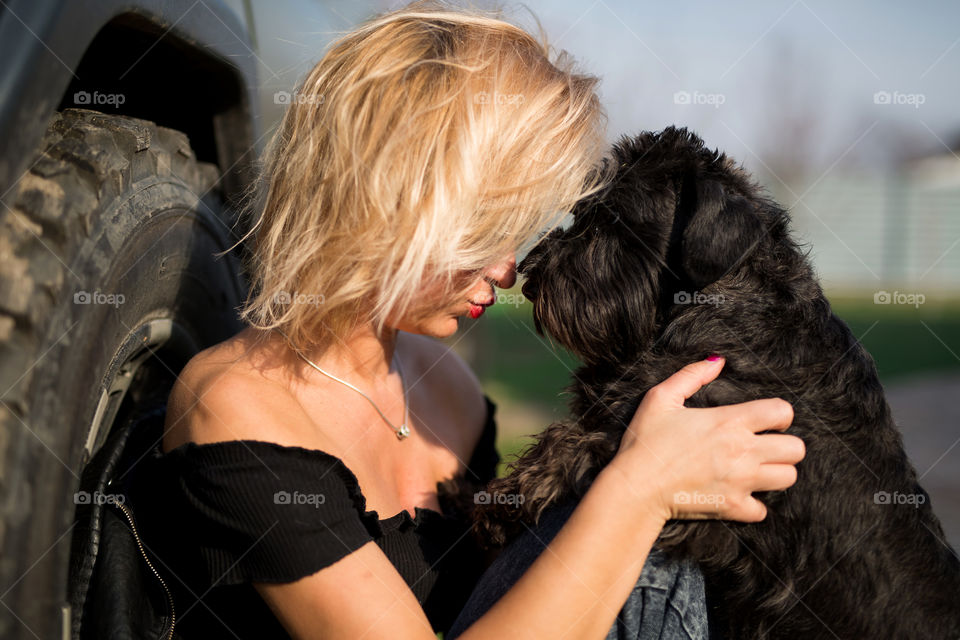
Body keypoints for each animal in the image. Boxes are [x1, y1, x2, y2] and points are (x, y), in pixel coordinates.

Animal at [474, 129, 960, 640]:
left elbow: (588, 445)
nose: (529, 274)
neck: (720, 305)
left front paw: (510, 496)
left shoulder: (717, 498)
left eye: (615, 220)